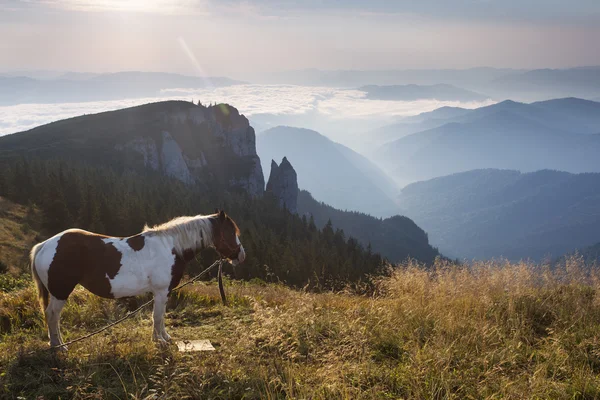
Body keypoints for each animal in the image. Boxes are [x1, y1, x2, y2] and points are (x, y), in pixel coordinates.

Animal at [29, 211, 246, 348]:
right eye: (230, 232)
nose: (241, 256)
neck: (171, 247)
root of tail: (44, 245)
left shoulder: (164, 292)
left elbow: (161, 316)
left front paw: (165, 337)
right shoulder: (160, 291)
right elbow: (157, 317)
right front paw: (159, 341)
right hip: (60, 292)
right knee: (52, 316)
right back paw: (59, 346)